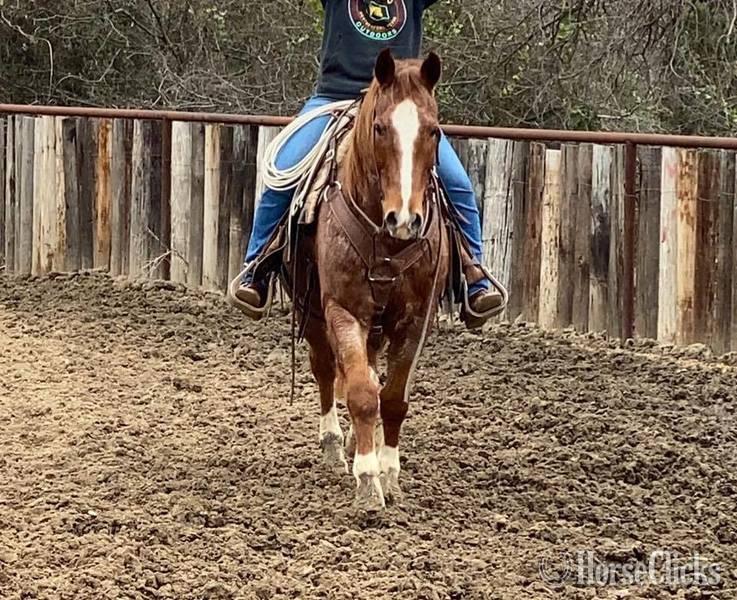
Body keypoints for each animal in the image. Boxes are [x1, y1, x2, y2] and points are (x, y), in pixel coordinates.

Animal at [287, 49, 450, 511]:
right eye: (379, 127)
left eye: (434, 131)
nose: (406, 219)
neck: (388, 242)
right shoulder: (343, 310)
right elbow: (360, 393)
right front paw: (367, 480)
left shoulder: (415, 319)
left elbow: (392, 397)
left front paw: (389, 473)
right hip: (312, 309)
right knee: (325, 369)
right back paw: (333, 446)